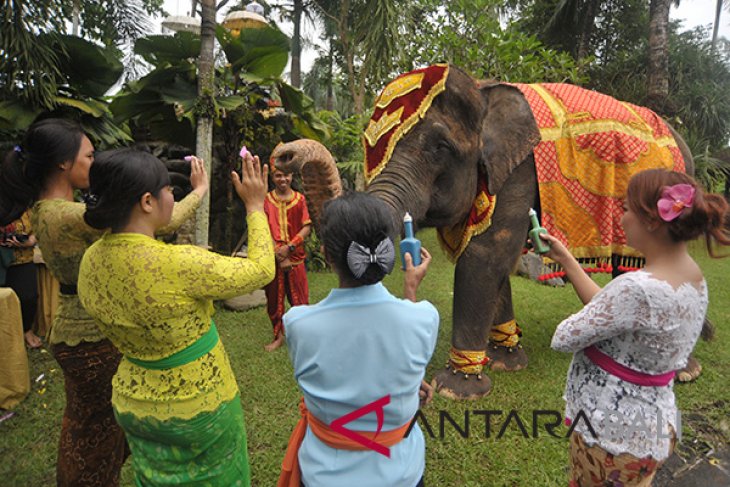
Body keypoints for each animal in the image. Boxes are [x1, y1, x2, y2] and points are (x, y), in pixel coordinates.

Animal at [270, 63, 696, 400]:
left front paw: (456, 389)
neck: (484, 88)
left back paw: (683, 371)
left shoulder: (521, 170)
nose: (283, 155)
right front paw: (507, 361)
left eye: (439, 147)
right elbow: (496, 263)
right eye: (368, 146)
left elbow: (485, 254)